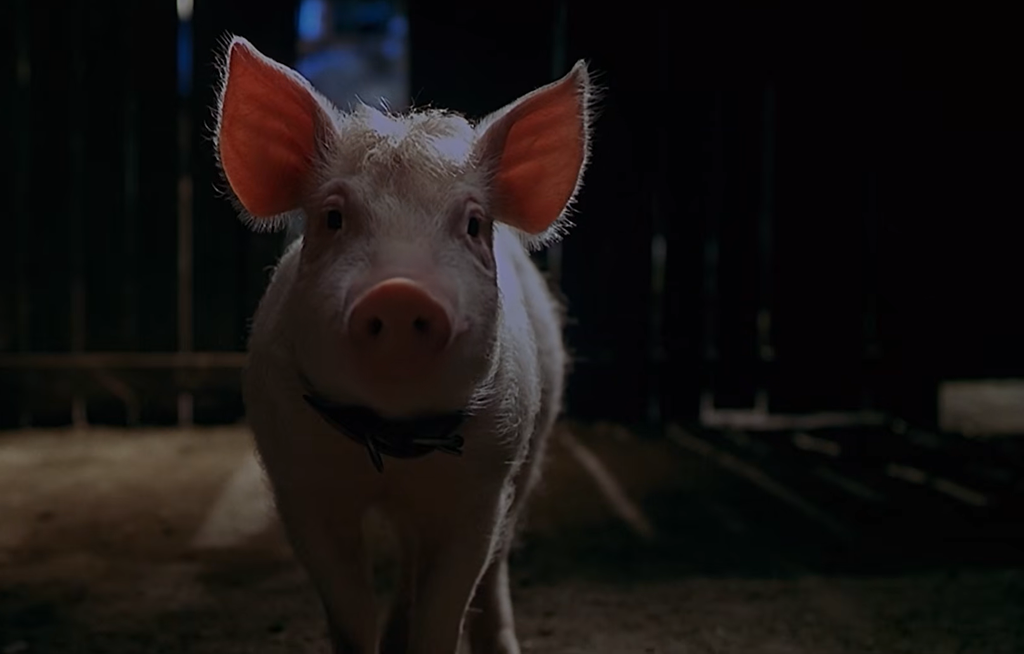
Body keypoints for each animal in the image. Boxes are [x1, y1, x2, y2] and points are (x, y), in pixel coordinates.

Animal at [212, 35, 596, 654]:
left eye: (473, 225)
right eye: (333, 217)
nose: (399, 291)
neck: (391, 448)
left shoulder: (480, 493)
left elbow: (444, 613)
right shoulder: (301, 488)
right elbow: (350, 614)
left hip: (532, 450)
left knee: (493, 569)